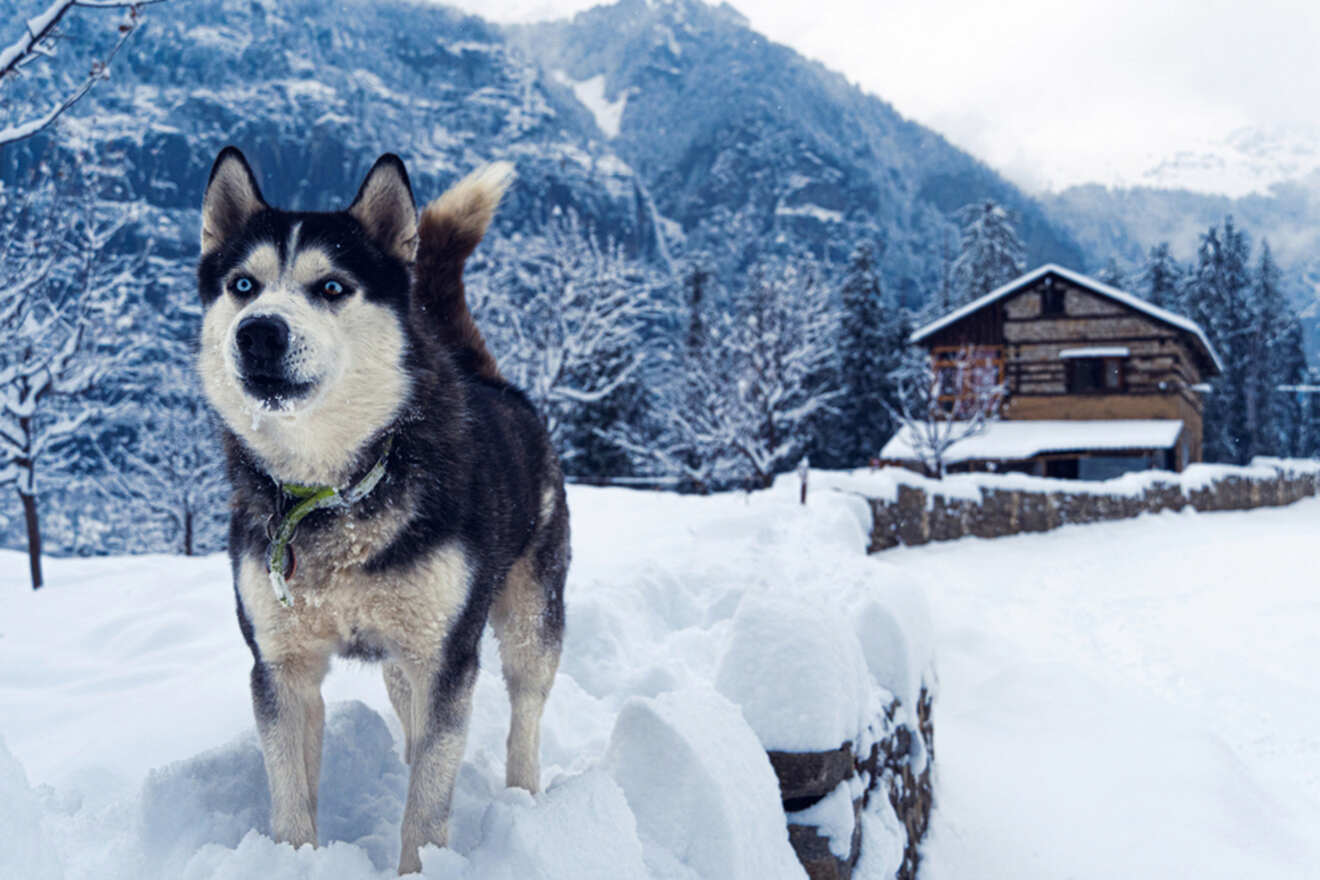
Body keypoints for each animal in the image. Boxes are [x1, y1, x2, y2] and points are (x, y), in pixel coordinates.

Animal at [195, 146, 567, 876]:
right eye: (243, 285)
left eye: (332, 288)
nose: (259, 333)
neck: (334, 490)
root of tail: (492, 381)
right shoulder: (282, 666)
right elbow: (292, 799)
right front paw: (294, 858)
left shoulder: (445, 660)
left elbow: (427, 806)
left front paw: (420, 862)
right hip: (403, 654)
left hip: (529, 619)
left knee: (524, 709)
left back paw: (523, 795)